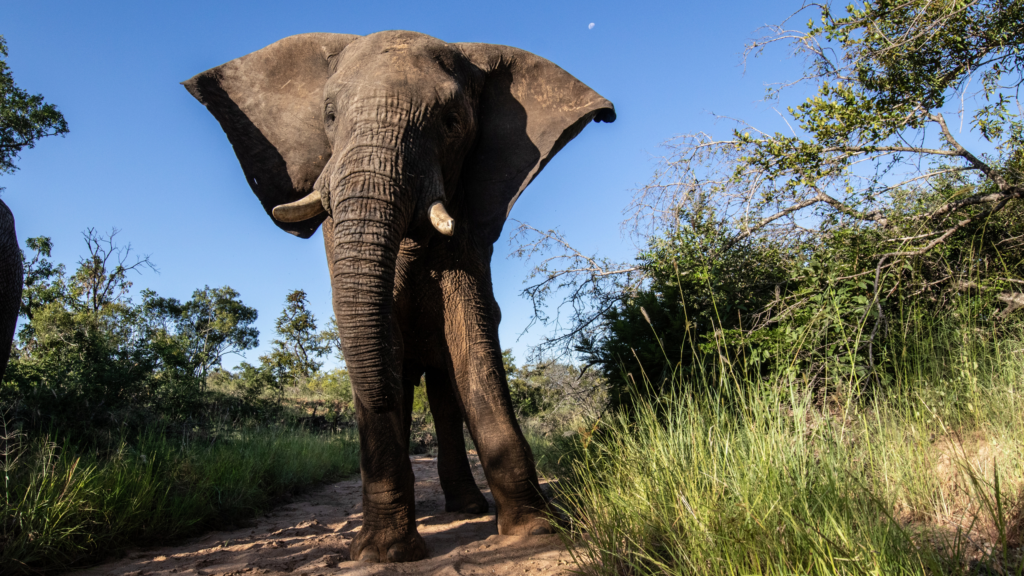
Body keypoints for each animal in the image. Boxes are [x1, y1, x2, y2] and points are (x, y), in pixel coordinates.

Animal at [184, 30, 614, 563]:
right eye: (329, 116)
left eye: (452, 123)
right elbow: (382, 333)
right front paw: (381, 554)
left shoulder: (468, 223)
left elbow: (469, 333)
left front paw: (535, 532)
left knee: (444, 393)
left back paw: (467, 507)